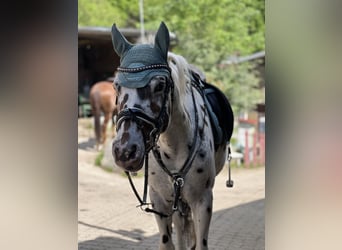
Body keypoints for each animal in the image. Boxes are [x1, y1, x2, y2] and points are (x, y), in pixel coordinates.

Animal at [111, 22, 234, 249]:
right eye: (116, 86)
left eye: (160, 85)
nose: (125, 151)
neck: (173, 146)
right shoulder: (160, 201)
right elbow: (168, 242)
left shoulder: (202, 201)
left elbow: (200, 243)